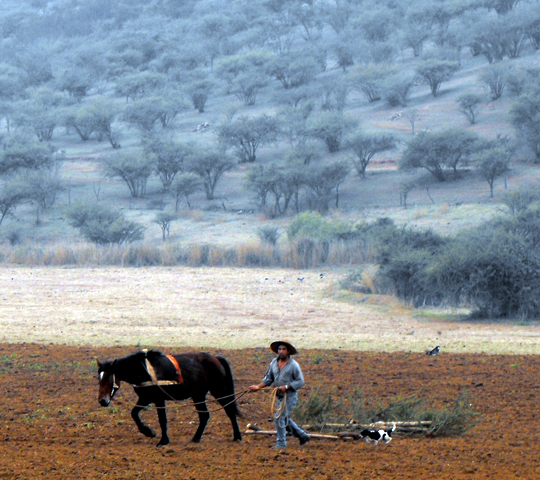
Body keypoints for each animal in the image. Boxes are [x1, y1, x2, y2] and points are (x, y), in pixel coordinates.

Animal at [96, 348, 242, 446]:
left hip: (216, 391)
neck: (144, 370)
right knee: (206, 415)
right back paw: (196, 439)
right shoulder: (145, 398)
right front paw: (148, 432)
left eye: (108, 377)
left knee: (228, 410)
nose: (103, 401)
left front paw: (163, 440)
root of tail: (216, 358)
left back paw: (237, 436)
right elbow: (134, 413)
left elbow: (162, 419)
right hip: (199, 395)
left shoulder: (158, 399)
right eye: (99, 377)